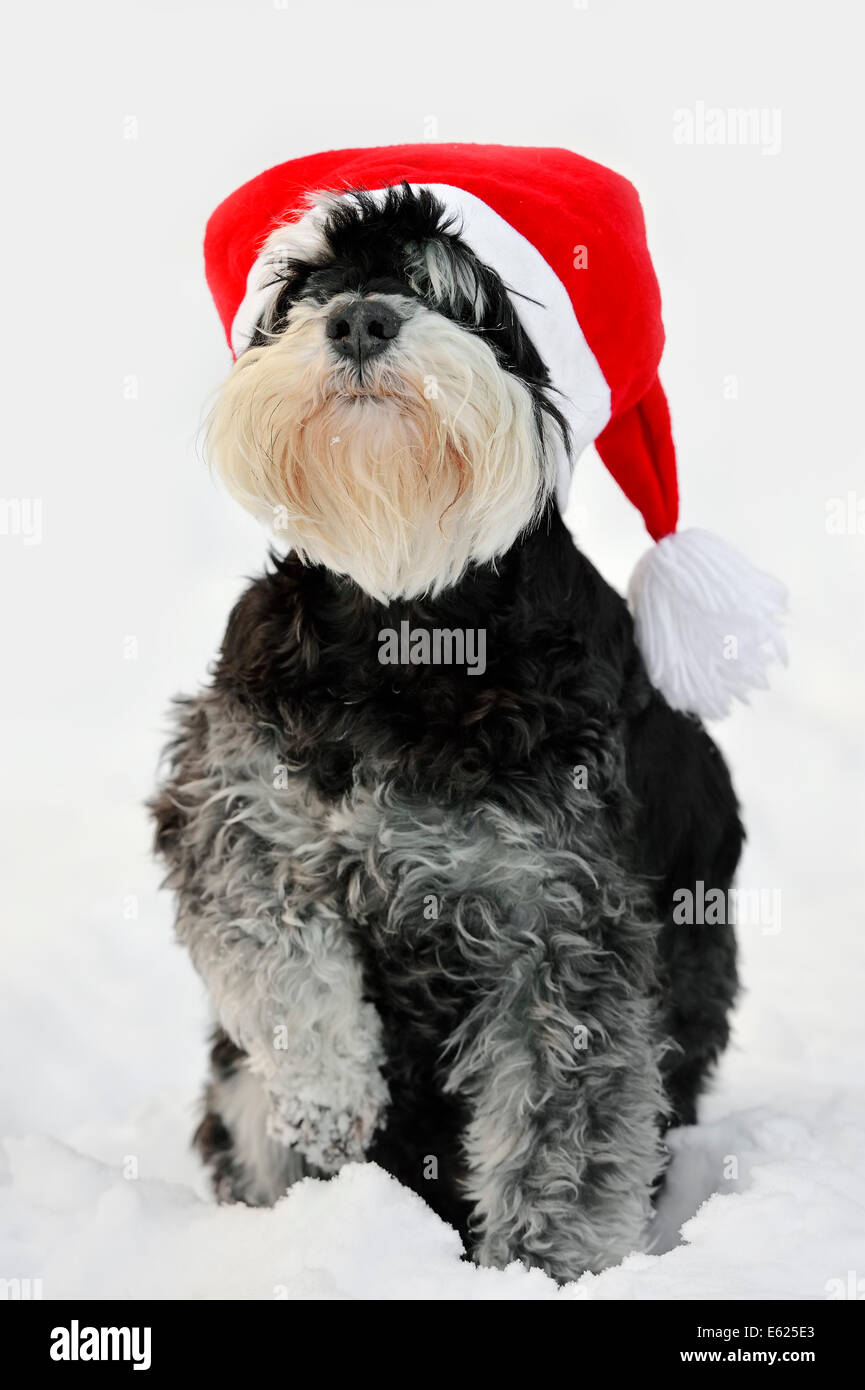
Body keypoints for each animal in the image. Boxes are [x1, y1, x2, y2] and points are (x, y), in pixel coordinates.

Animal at [150, 176, 745, 1278]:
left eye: (458, 293)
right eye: (306, 286)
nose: (358, 318)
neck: (406, 631)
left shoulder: (560, 928)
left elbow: (562, 1134)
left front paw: (543, 1268)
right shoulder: (231, 810)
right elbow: (276, 961)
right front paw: (333, 1096)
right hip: (237, 1090)